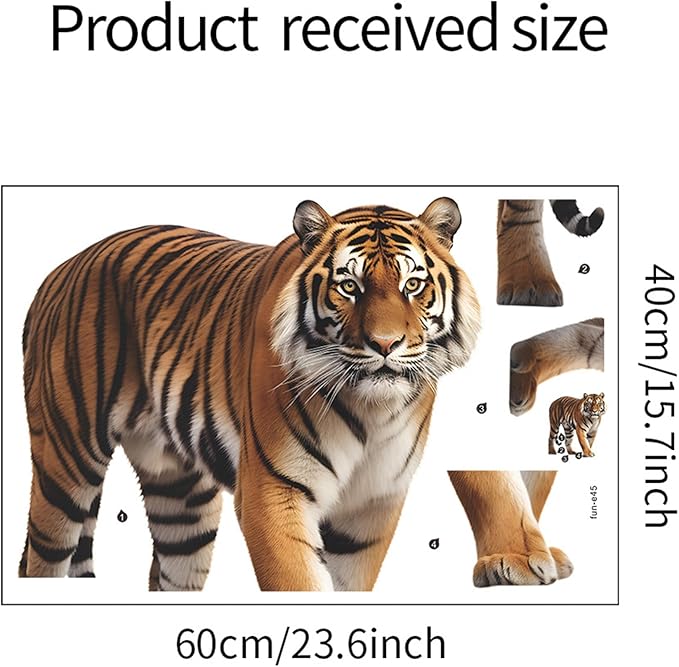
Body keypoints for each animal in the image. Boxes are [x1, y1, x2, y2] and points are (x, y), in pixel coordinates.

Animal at [18, 197, 481, 592]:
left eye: (413, 284)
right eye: (349, 286)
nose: (385, 344)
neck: (374, 410)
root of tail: (59, 271)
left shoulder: (370, 508)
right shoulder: (273, 493)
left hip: (180, 498)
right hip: (66, 461)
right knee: (39, 559)